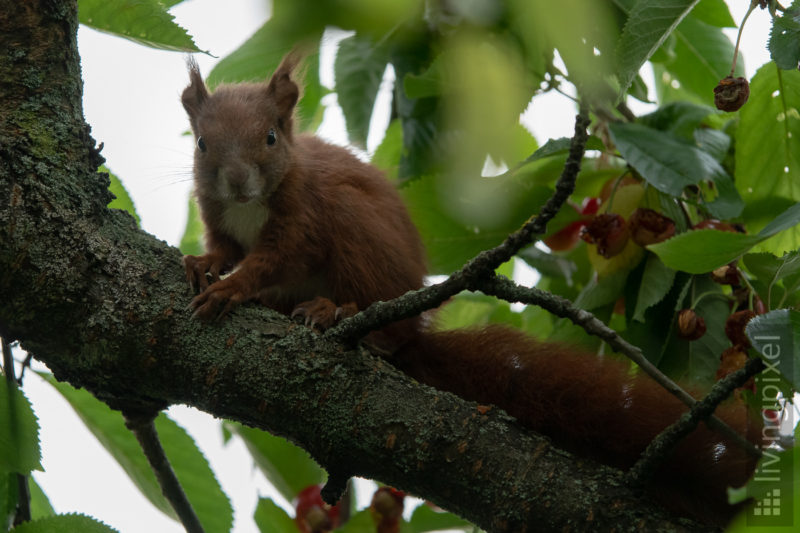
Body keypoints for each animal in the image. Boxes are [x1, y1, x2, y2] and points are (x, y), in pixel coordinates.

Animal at [181, 53, 764, 524]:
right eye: (202, 143)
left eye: (271, 137)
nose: (238, 181)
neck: (250, 206)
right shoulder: (219, 218)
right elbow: (225, 250)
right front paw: (202, 265)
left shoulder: (302, 217)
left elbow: (275, 259)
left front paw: (232, 289)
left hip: (357, 234)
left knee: (385, 329)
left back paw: (337, 313)